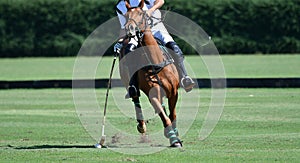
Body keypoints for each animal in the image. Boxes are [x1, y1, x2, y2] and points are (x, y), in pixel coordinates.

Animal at [118, 0, 182, 148]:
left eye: (141, 14)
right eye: (126, 15)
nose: (129, 29)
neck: (156, 63)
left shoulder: (174, 91)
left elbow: (172, 115)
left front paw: (174, 134)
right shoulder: (152, 94)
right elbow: (165, 117)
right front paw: (174, 139)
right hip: (127, 80)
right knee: (135, 97)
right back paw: (142, 126)